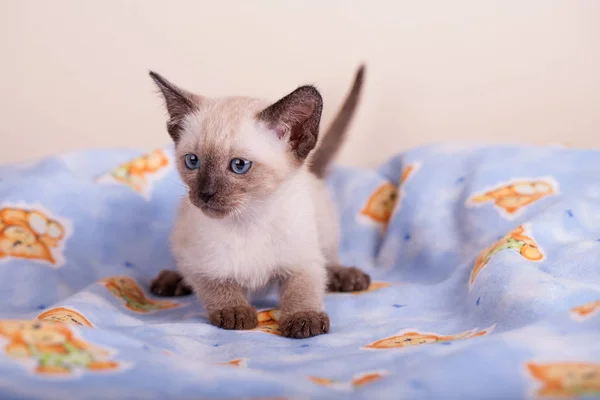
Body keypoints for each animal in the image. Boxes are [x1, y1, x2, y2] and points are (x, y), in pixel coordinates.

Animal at [148, 65, 368, 338]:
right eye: (192, 161)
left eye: (239, 165)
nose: (205, 193)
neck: (248, 220)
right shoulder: (200, 264)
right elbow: (217, 286)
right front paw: (235, 312)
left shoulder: (303, 260)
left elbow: (303, 289)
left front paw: (304, 319)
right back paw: (170, 281)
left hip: (325, 231)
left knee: (330, 261)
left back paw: (348, 277)